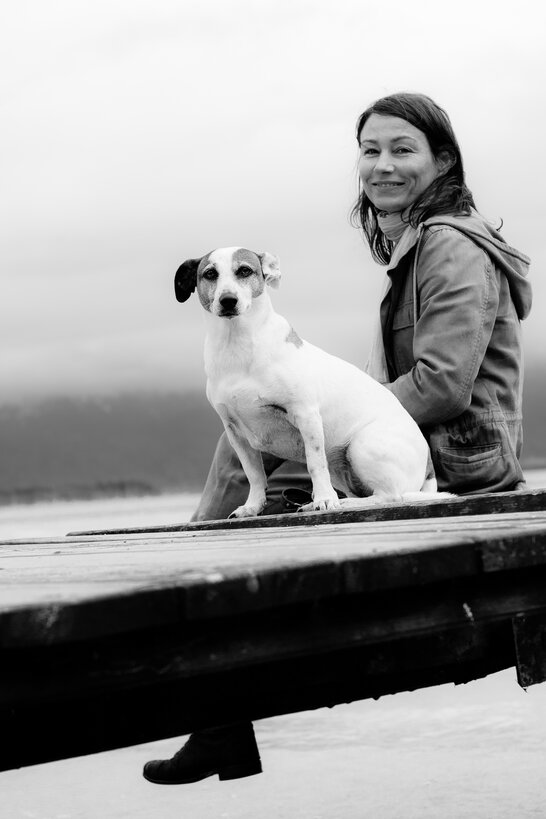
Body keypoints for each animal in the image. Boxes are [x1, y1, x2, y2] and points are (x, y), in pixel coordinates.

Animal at [174, 248, 446, 520]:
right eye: (210, 274)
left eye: (244, 271)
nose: (228, 300)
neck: (237, 345)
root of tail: (429, 469)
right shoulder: (235, 433)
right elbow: (254, 474)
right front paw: (252, 506)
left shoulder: (305, 415)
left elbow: (315, 463)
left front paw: (324, 499)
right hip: (341, 467)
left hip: (362, 445)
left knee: (389, 496)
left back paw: (344, 503)